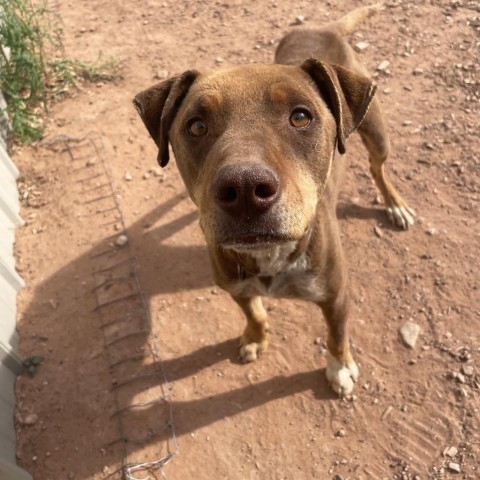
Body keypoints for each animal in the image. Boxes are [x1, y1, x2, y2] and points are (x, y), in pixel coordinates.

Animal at [133, 3, 414, 396]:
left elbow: (337, 335)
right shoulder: (233, 284)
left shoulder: (336, 295)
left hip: (376, 132)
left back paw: (395, 204)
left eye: (300, 116)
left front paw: (340, 368)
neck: (272, 258)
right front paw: (255, 335)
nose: (245, 189)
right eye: (196, 125)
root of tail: (324, 26)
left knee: (378, 168)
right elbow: (252, 310)